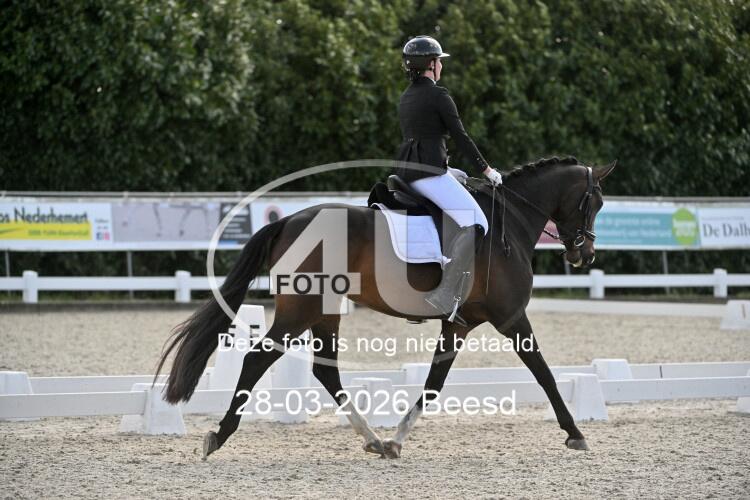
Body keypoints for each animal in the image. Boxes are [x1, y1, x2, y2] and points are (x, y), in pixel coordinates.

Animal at [155, 156, 616, 459]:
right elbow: (545, 374)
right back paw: (219, 434)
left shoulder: (459, 324)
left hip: (324, 311)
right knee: (257, 358)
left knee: (326, 371)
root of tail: (287, 221)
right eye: (593, 202)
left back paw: (373, 439)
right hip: (300, 310)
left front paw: (396, 440)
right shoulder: (510, 318)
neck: (511, 222)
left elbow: (433, 384)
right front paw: (575, 432)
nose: (585, 255)